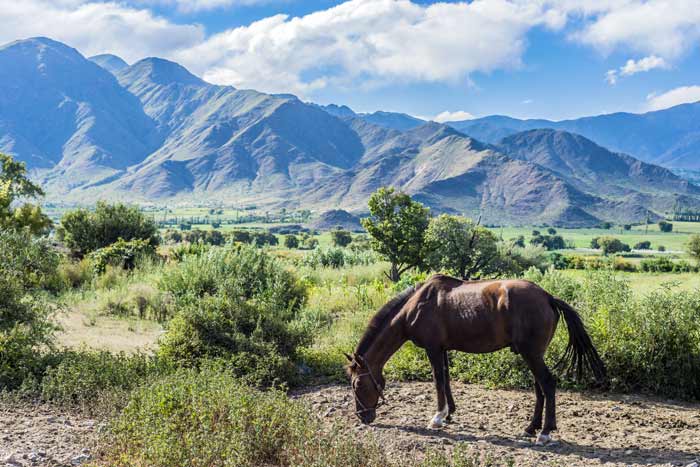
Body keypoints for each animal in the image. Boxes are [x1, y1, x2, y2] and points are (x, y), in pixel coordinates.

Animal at [346, 274, 608, 446]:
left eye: (357, 384)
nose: (363, 417)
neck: (416, 305)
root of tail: (548, 297)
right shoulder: (443, 349)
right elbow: (446, 379)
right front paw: (449, 414)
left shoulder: (432, 349)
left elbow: (438, 380)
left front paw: (437, 418)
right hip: (533, 354)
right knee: (539, 388)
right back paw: (531, 427)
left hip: (531, 354)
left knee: (548, 384)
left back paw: (545, 432)